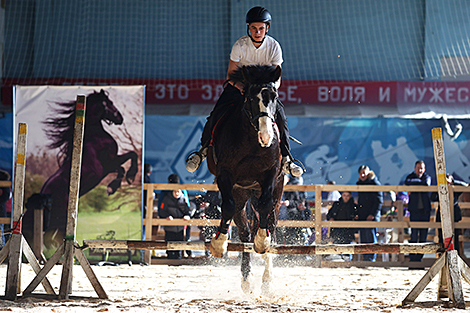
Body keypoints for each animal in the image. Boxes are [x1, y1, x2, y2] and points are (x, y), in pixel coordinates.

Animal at [207, 65, 282, 292]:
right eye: (250, 97)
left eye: (275, 96)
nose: (267, 137)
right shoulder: (225, 174)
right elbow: (228, 206)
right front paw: (219, 244)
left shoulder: (270, 174)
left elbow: (265, 208)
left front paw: (262, 242)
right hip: (241, 193)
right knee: (244, 232)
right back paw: (247, 279)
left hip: (274, 194)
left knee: (271, 224)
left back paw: (267, 280)